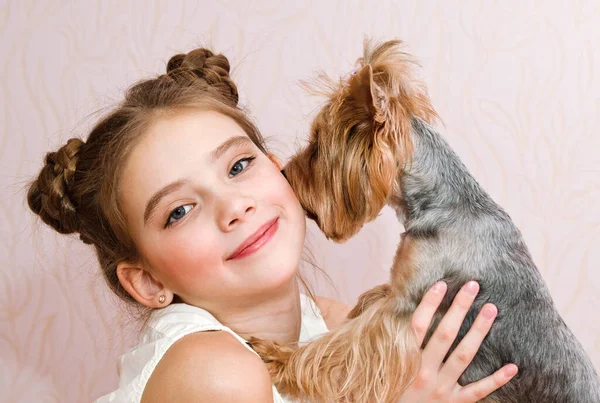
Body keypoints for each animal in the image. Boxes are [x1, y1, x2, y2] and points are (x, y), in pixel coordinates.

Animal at [250, 39, 600, 402]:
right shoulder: (399, 288)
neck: (442, 204)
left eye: (318, 146)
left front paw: (279, 356)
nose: (284, 173)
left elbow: (338, 348)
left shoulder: (402, 310)